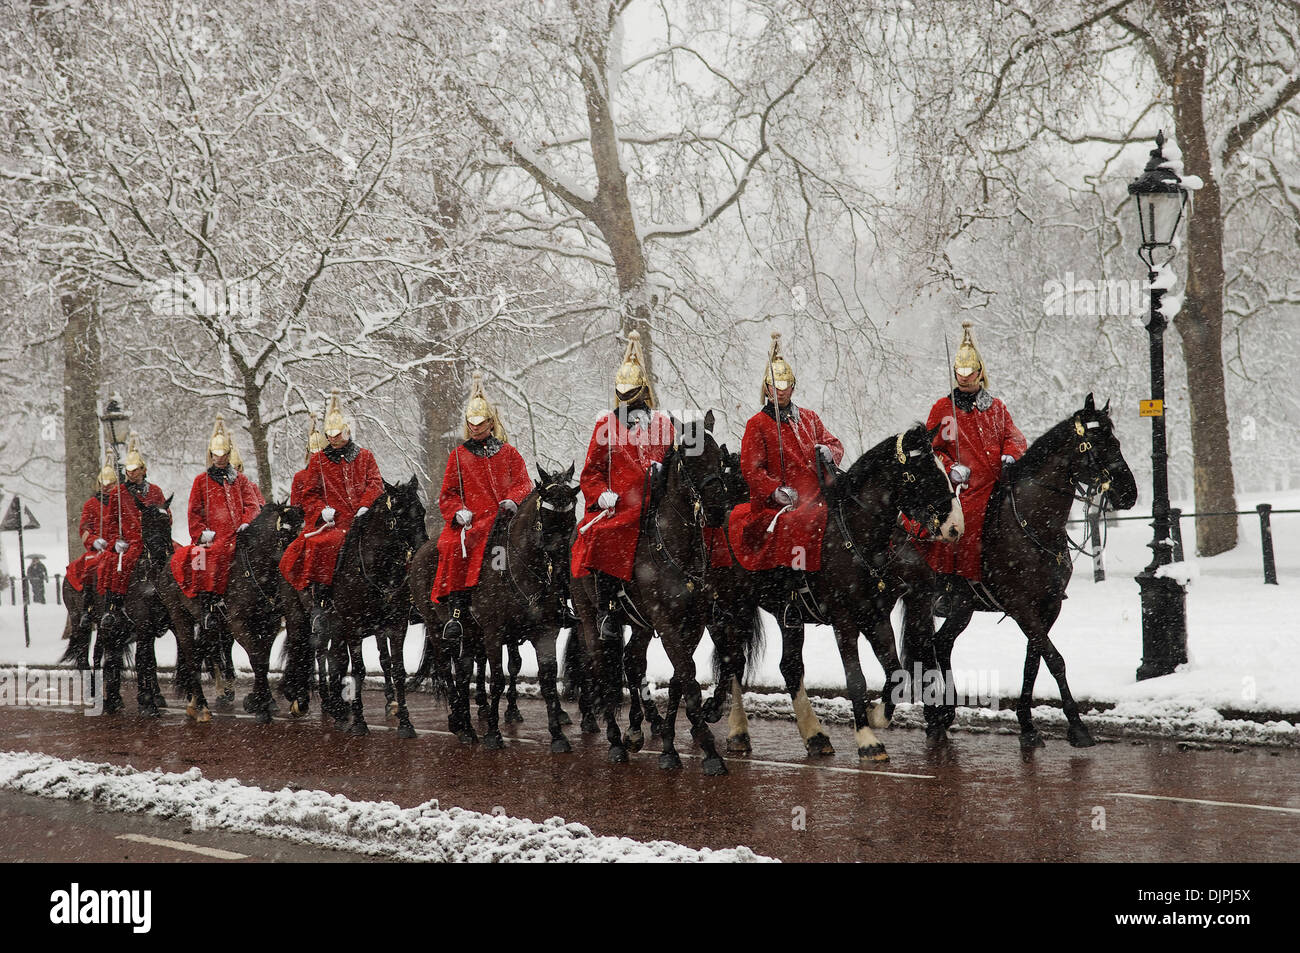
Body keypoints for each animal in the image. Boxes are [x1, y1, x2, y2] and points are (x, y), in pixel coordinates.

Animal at [904, 395, 1138, 748]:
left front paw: (1027, 724)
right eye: (1096, 443)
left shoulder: (1048, 606)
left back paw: (947, 711)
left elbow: (1033, 660)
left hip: (962, 607)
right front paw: (1077, 726)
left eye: (1117, 442)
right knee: (924, 646)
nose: (1129, 493)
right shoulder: (1020, 607)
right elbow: (1054, 659)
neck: (1035, 524)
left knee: (941, 644)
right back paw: (934, 716)